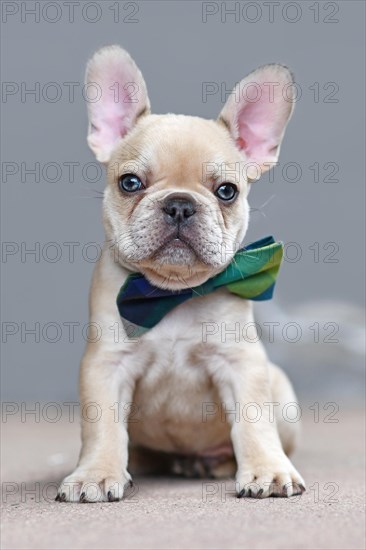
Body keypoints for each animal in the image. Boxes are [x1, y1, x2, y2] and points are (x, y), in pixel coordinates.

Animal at [55, 46, 304, 504]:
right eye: (130, 182)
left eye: (227, 191)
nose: (180, 204)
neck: (172, 292)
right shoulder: (106, 366)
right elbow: (102, 427)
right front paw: (95, 474)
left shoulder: (242, 363)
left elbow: (254, 422)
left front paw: (267, 470)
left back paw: (212, 464)